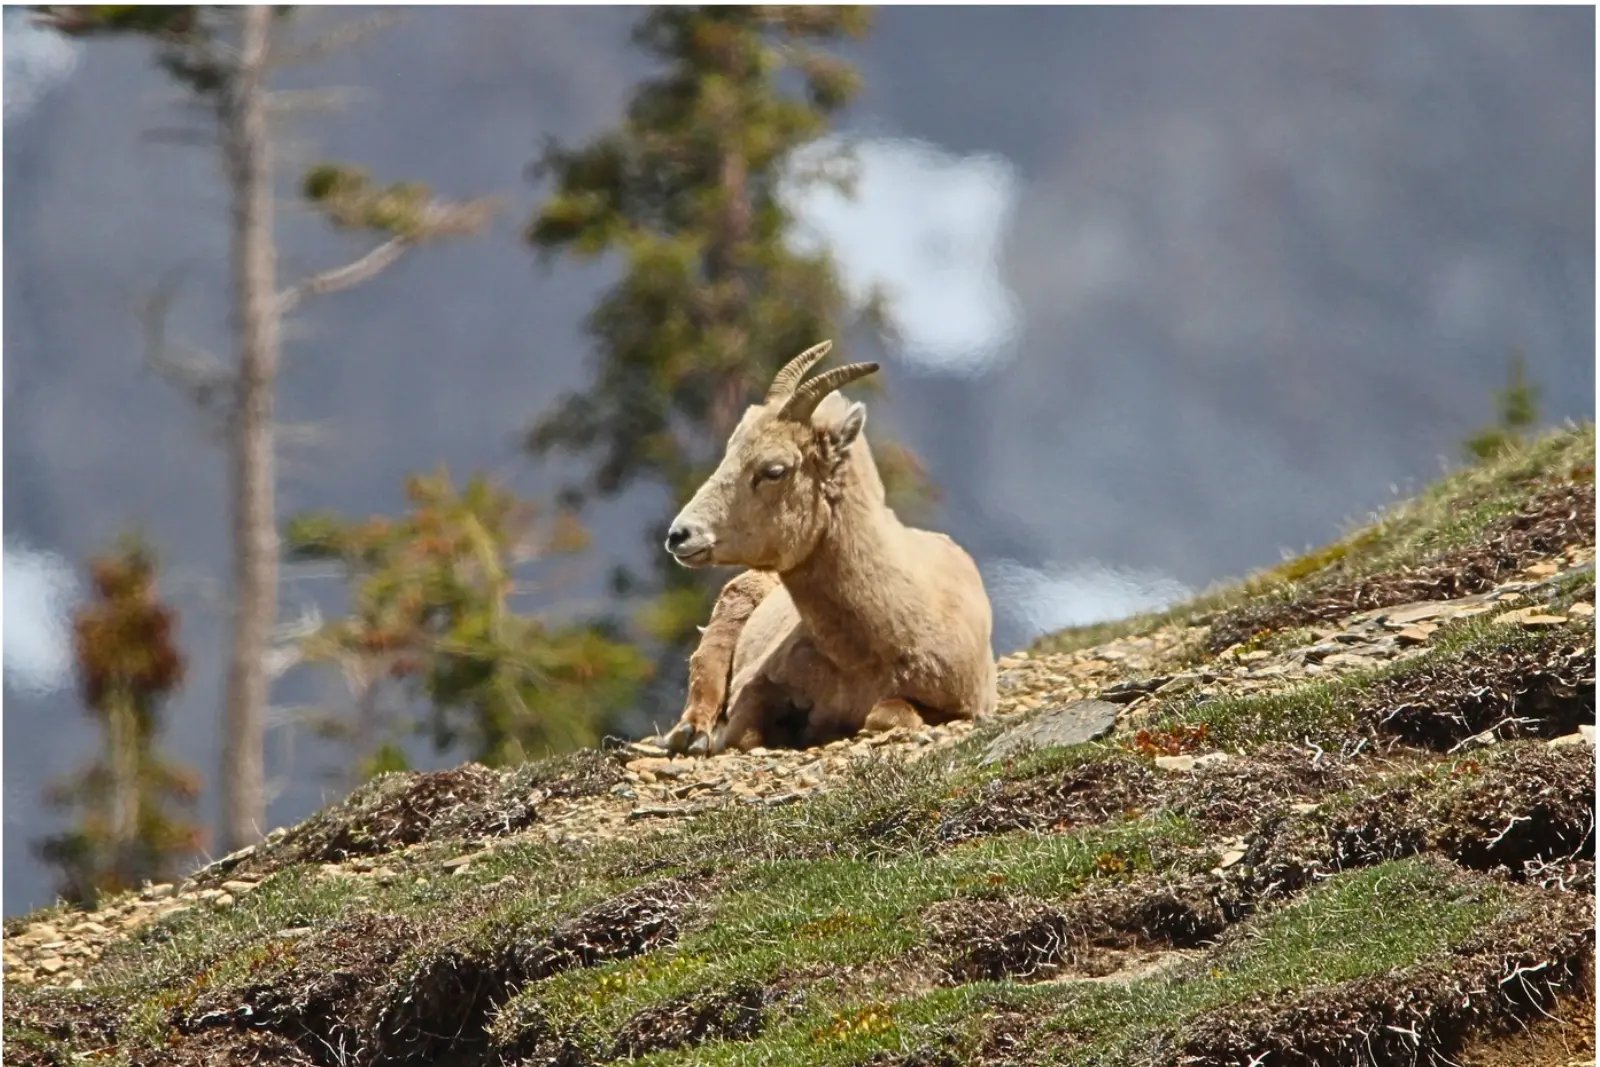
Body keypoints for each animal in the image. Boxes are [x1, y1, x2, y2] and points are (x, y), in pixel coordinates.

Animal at [656, 341, 997, 755]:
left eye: (774, 470)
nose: (680, 535)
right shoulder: (759, 683)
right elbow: (744, 731)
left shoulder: (959, 704)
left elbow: (887, 715)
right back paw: (689, 734)